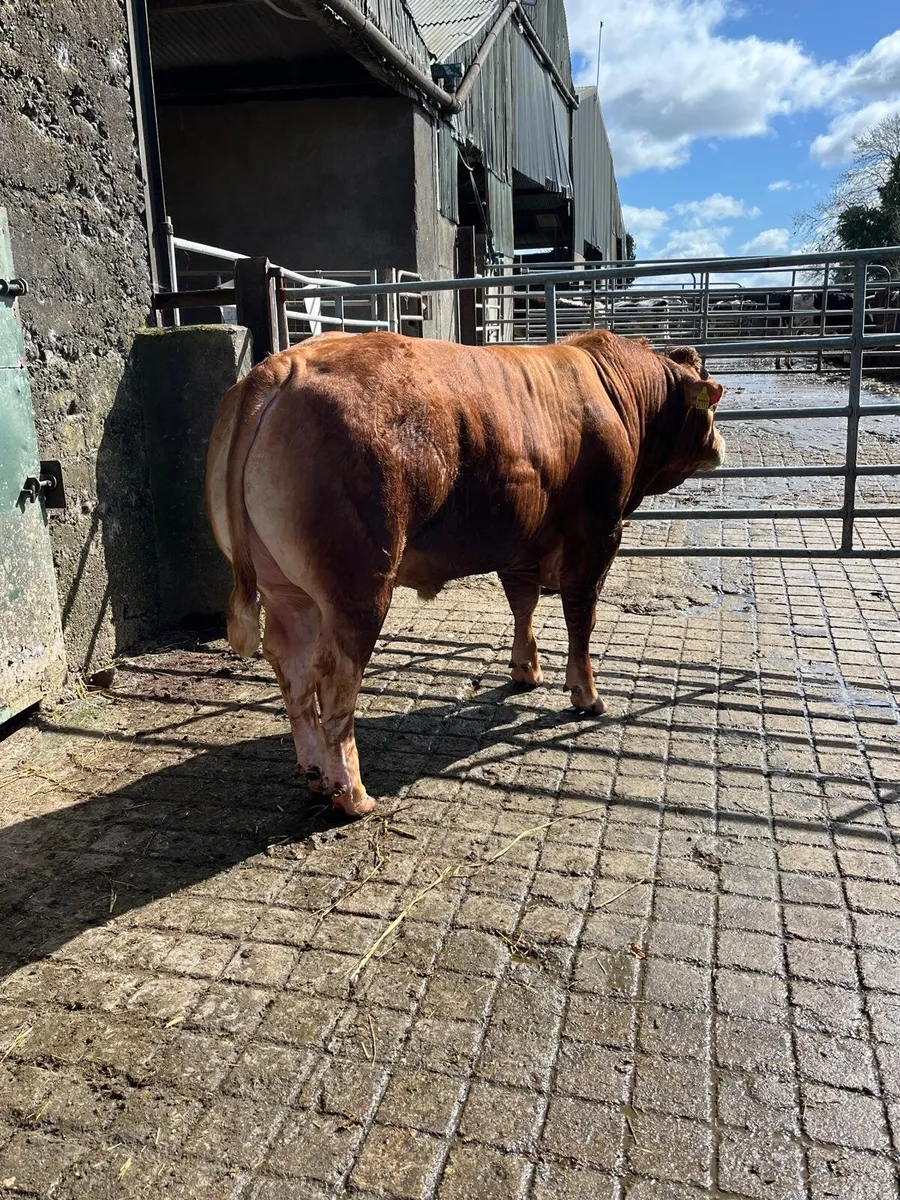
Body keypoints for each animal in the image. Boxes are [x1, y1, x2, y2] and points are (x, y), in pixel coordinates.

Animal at [205, 330, 726, 817]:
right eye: (709, 404)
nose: (719, 444)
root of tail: (280, 365)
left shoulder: (520, 542)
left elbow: (522, 603)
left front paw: (525, 668)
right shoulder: (598, 534)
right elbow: (581, 617)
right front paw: (586, 694)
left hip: (285, 588)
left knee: (291, 665)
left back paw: (314, 771)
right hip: (358, 585)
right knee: (335, 677)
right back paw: (352, 795)